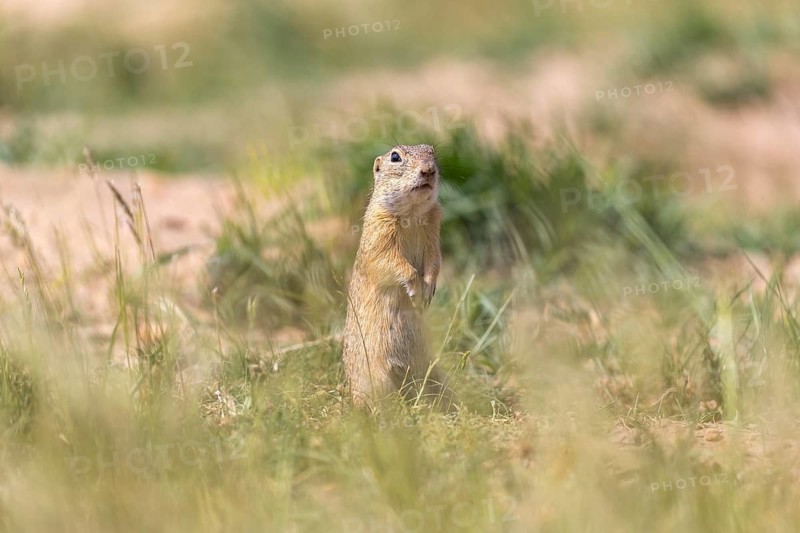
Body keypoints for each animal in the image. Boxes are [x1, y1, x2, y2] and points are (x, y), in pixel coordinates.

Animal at [343, 144, 446, 408]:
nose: (428, 170)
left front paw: (428, 288)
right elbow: (391, 262)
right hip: (377, 379)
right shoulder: (379, 235)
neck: (412, 213)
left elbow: (434, 261)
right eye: (395, 157)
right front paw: (415, 288)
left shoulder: (433, 233)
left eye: (432, 152)